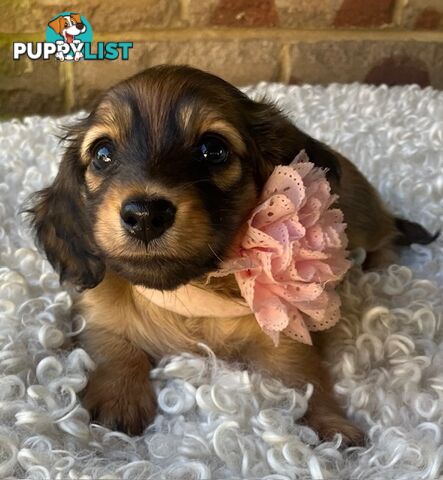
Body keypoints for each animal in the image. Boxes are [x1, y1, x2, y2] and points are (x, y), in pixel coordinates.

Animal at [28, 65, 438, 444]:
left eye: (213, 149)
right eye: (103, 153)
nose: (145, 215)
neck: (189, 294)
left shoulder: (285, 337)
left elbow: (304, 377)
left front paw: (329, 424)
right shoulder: (96, 313)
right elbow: (112, 344)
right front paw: (119, 397)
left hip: (363, 216)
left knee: (386, 233)